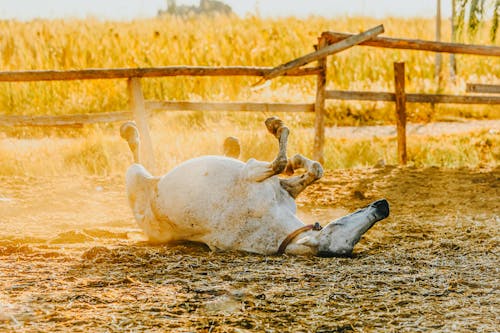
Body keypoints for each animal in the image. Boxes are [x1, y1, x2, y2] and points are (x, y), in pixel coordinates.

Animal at [121, 117, 390, 256]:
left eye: (355, 239)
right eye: (339, 225)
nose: (383, 207)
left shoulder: (254, 173)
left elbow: (294, 166)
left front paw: (281, 138)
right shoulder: (264, 179)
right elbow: (307, 167)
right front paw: (290, 153)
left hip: (134, 175)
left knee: (137, 154)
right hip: (138, 175)